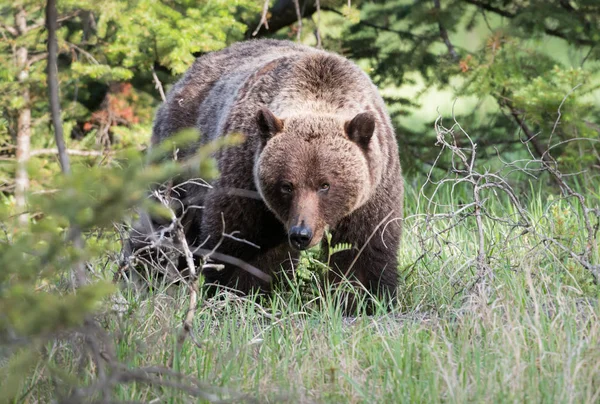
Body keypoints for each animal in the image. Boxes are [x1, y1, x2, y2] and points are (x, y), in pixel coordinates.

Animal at [129, 39, 406, 308]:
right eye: (287, 185)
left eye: (325, 185)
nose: (301, 234)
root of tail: (187, 73)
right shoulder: (247, 181)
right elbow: (241, 244)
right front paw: (240, 296)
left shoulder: (374, 189)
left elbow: (363, 249)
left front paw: (363, 299)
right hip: (181, 155)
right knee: (162, 218)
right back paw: (141, 273)